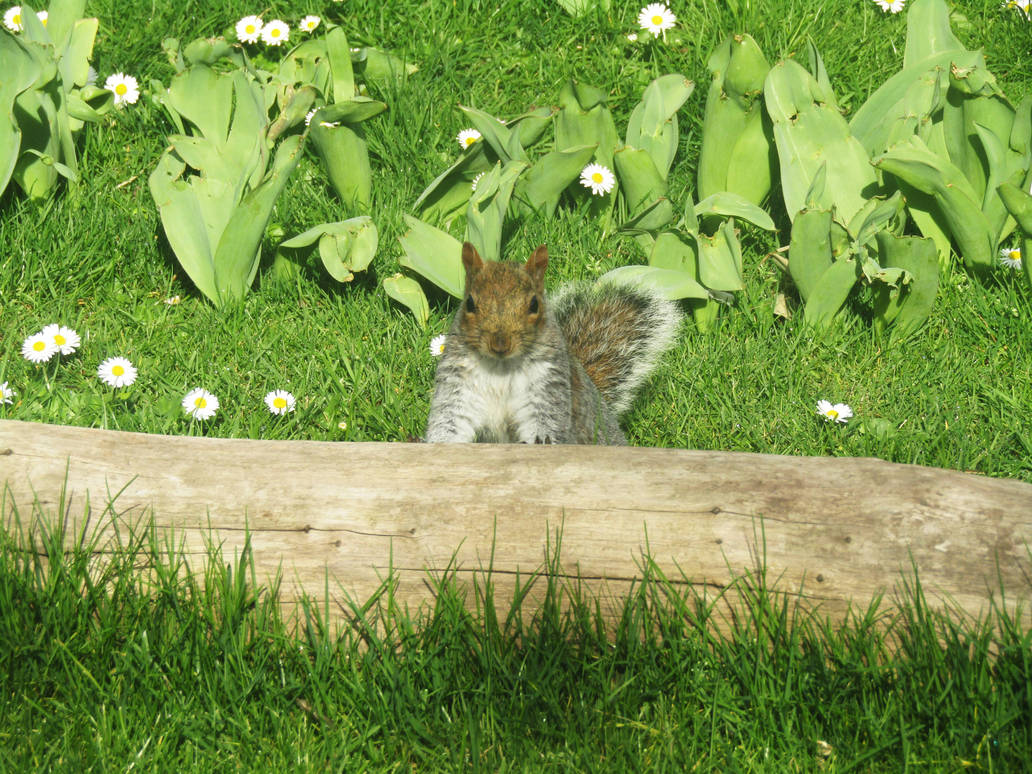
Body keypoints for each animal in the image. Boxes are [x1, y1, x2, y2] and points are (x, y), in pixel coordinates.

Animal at [424, 242, 681, 445]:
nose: (500, 344)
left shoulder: (547, 388)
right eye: (470, 303)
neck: (501, 367)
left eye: (534, 304)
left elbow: (545, 425)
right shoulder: (459, 386)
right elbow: (451, 421)